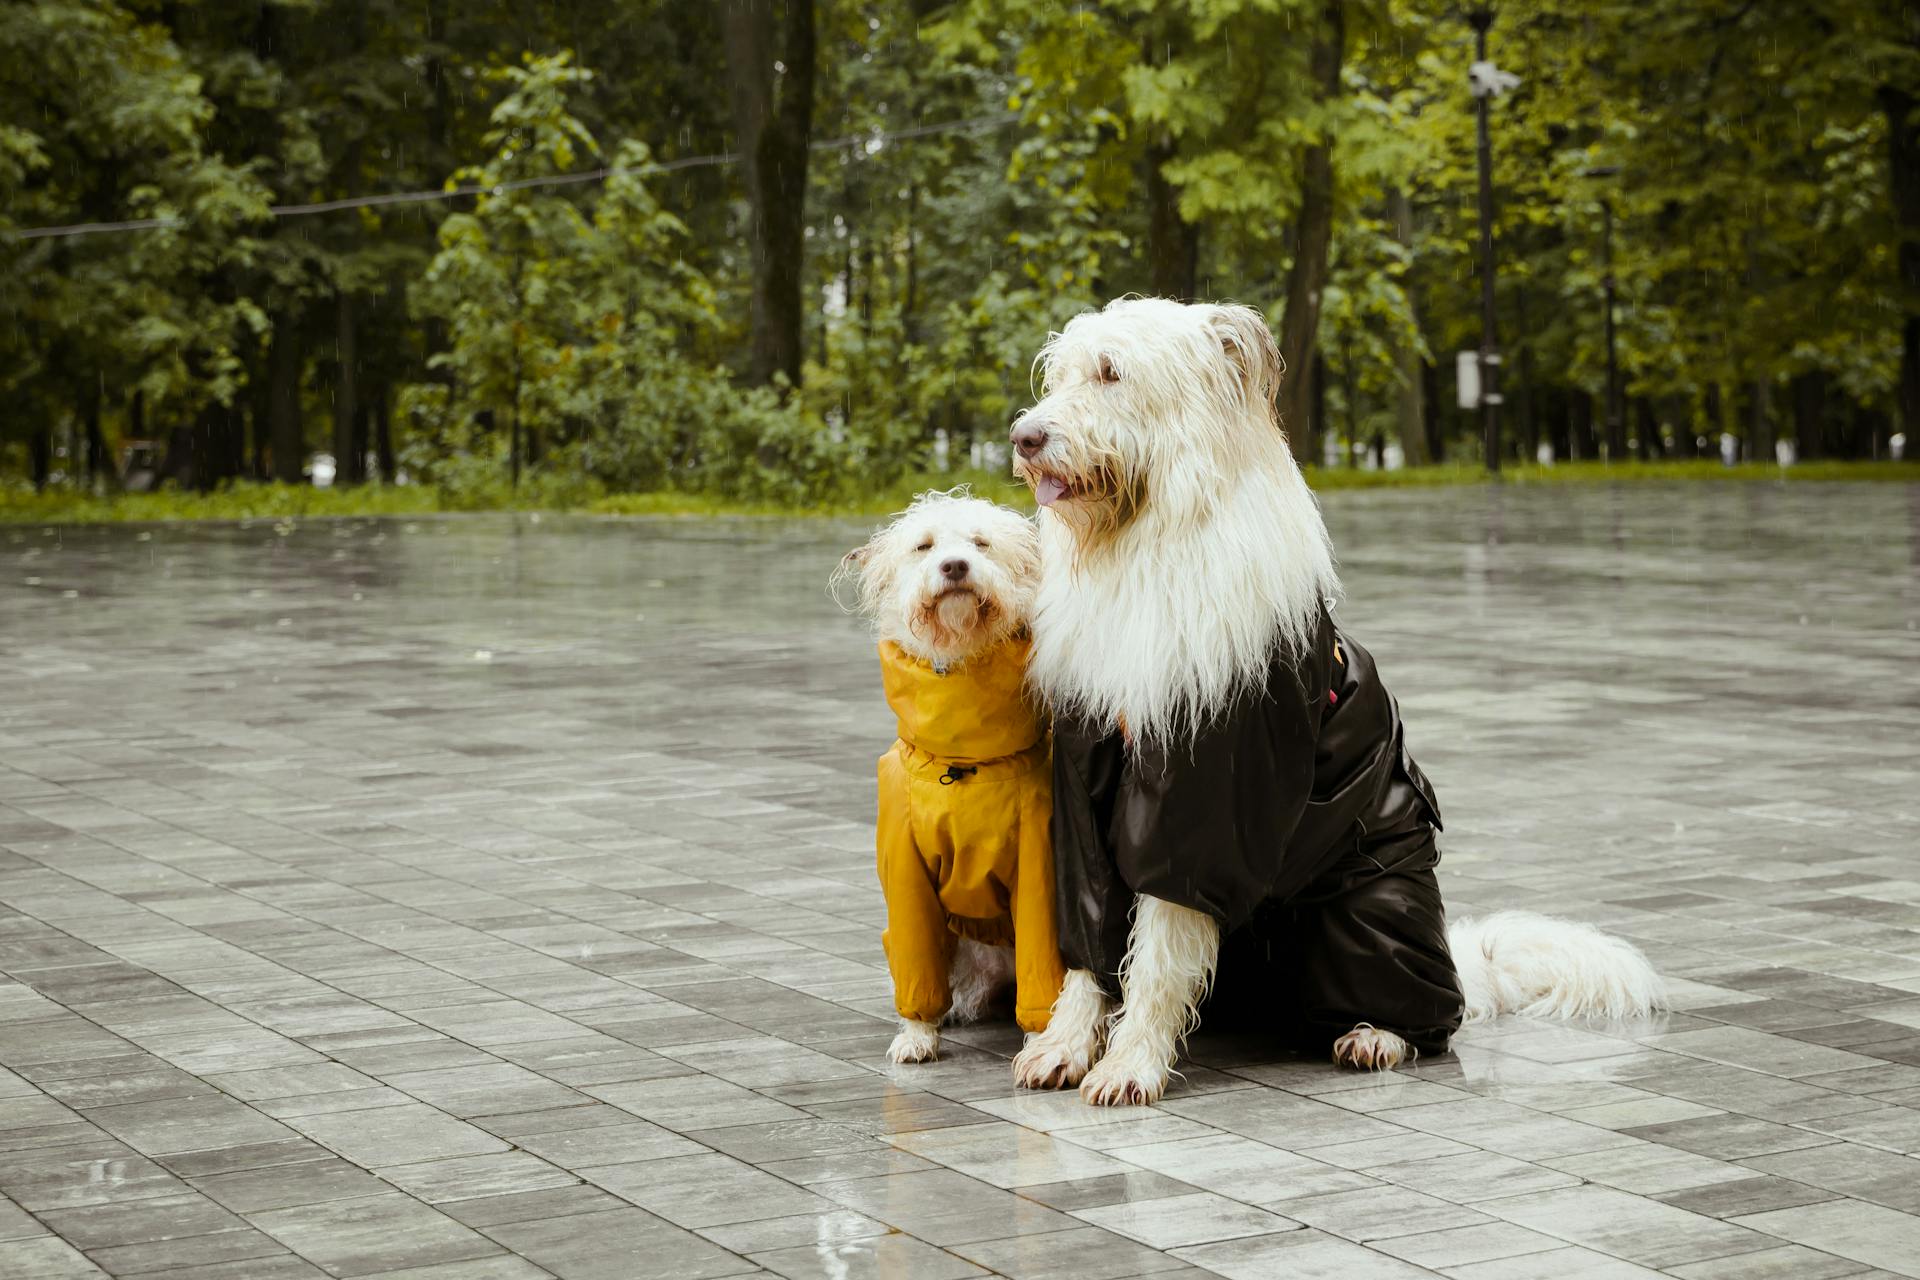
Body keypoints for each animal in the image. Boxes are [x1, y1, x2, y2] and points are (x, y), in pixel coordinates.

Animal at [837, 495, 1075, 1066]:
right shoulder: (906, 876)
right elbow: (916, 962)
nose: (955, 566)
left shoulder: (1038, 869)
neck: (964, 757)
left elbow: (1042, 968)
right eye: (924, 546)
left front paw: (1041, 1040)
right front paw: (917, 1034)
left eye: (981, 543)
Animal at [1006, 297, 1666, 1105]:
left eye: (1111, 373)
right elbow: (1090, 942)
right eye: (1061, 375)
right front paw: (1066, 1045)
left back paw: (1377, 1033)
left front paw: (1130, 1064)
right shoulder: (1084, 789)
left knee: (1432, 1022)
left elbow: (1160, 947)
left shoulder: (1201, 803)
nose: (1025, 438)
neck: (1146, 543)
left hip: (1369, 910)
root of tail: (1459, 963)